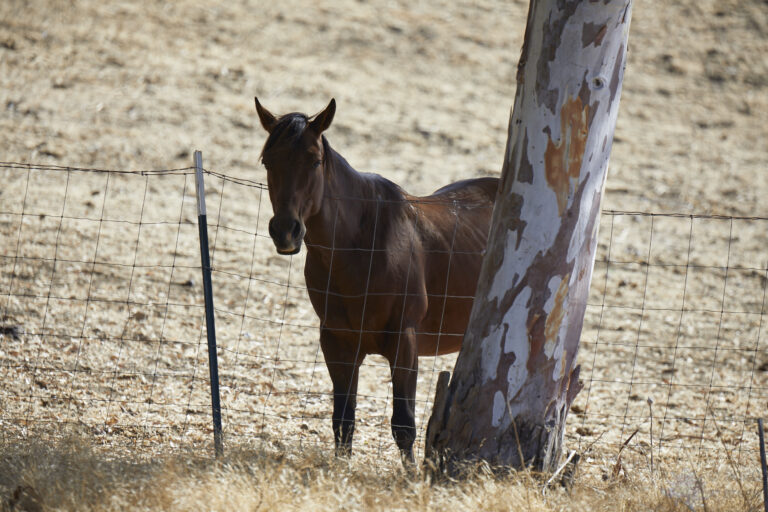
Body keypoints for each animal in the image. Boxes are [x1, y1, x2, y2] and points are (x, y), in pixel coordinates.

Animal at [255, 97, 498, 462]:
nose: (286, 231)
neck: (363, 247)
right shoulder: (337, 344)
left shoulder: (404, 344)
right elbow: (343, 421)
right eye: (267, 161)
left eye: (314, 160)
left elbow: (403, 425)